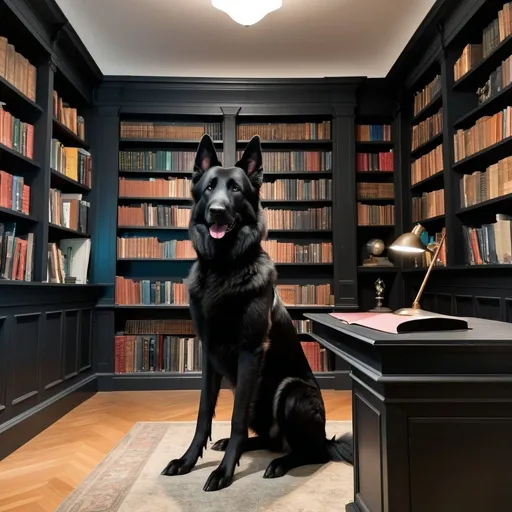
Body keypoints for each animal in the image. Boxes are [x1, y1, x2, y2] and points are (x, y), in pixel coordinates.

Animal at [161, 133, 352, 492]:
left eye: (236, 189)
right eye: (209, 187)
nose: (217, 211)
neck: (223, 268)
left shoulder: (250, 352)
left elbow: (235, 418)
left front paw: (224, 471)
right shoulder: (209, 351)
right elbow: (203, 413)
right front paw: (188, 460)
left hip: (291, 391)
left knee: (311, 451)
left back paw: (280, 463)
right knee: (271, 439)